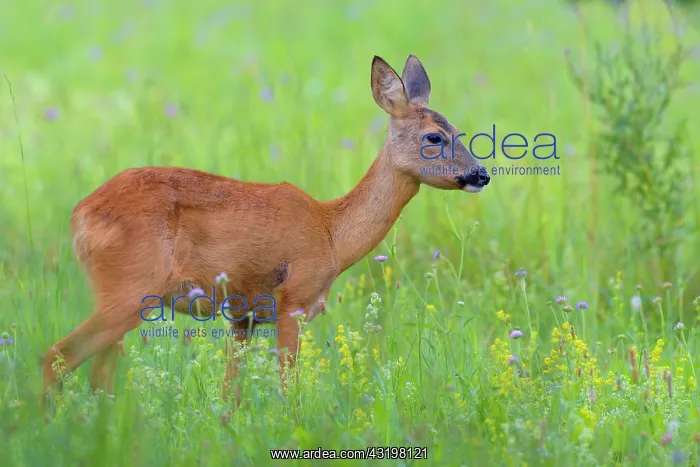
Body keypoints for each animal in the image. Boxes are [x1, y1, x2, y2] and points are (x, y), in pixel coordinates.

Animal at [42, 54, 491, 408]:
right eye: (434, 136)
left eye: (461, 132)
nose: (481, 175)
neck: (331, 231)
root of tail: (79, 215)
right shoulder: (293, 299)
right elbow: (288, 386)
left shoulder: (242, 314)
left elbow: (231, 393)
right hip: (129, 288)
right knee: (57, 357)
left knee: (98, 376)